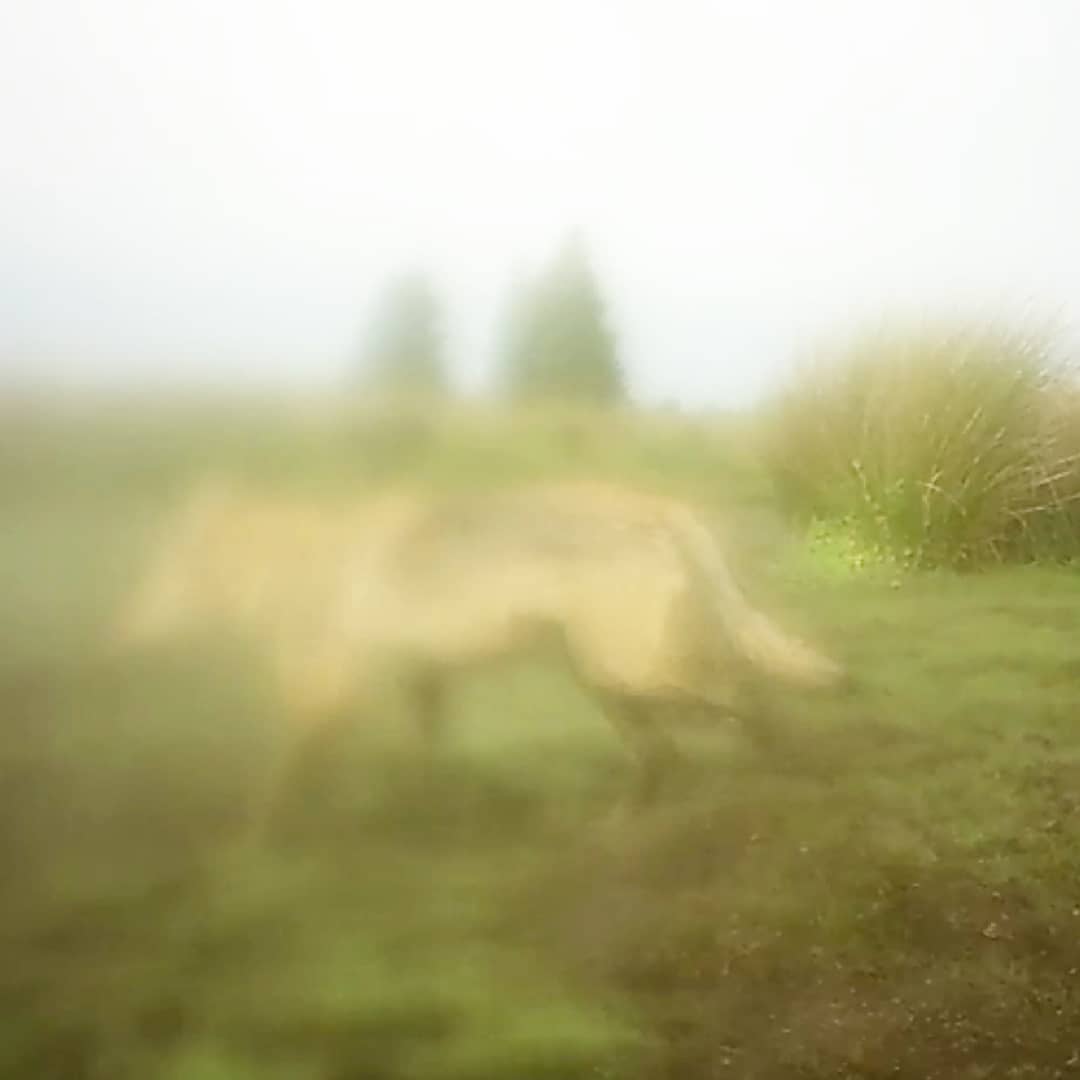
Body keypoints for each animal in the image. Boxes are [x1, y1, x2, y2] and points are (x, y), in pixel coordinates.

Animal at [111, 475, 847, 840]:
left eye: (161, 572)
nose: (120, 640)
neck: (288, 566)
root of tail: (667, 509)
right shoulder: (419, 681)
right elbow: (420, 762)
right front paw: (421, 815)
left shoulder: (322, 692)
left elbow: (278, 784)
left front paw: (248, 848)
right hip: (607, 683)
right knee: (674, 751)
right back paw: (619, 827)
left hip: (627, 673)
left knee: (745, 703)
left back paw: (795, 775)